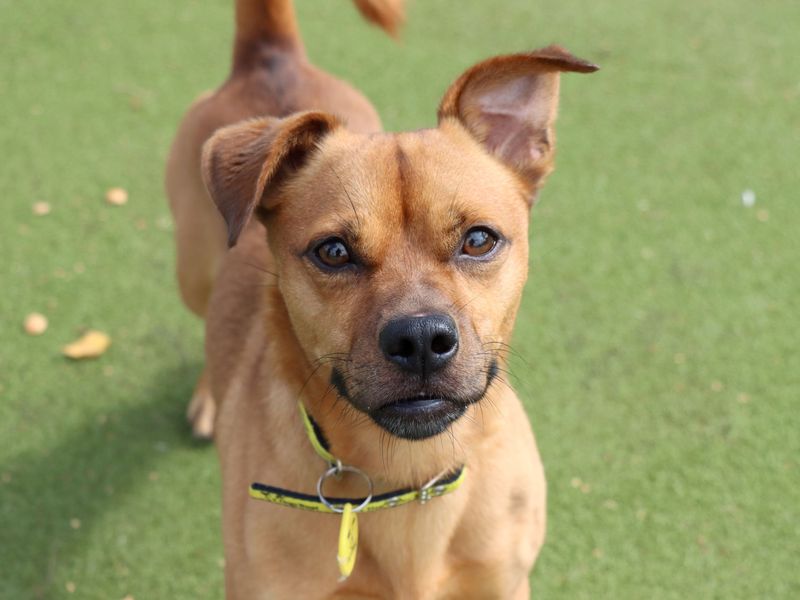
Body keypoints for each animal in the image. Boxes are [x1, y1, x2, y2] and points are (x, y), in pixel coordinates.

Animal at [166, 1, 596, 600]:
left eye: (479, 239)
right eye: (333, 251)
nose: (421, 339)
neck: (411, 476)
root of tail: (269, 56)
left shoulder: (504, 582)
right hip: (192, 269)